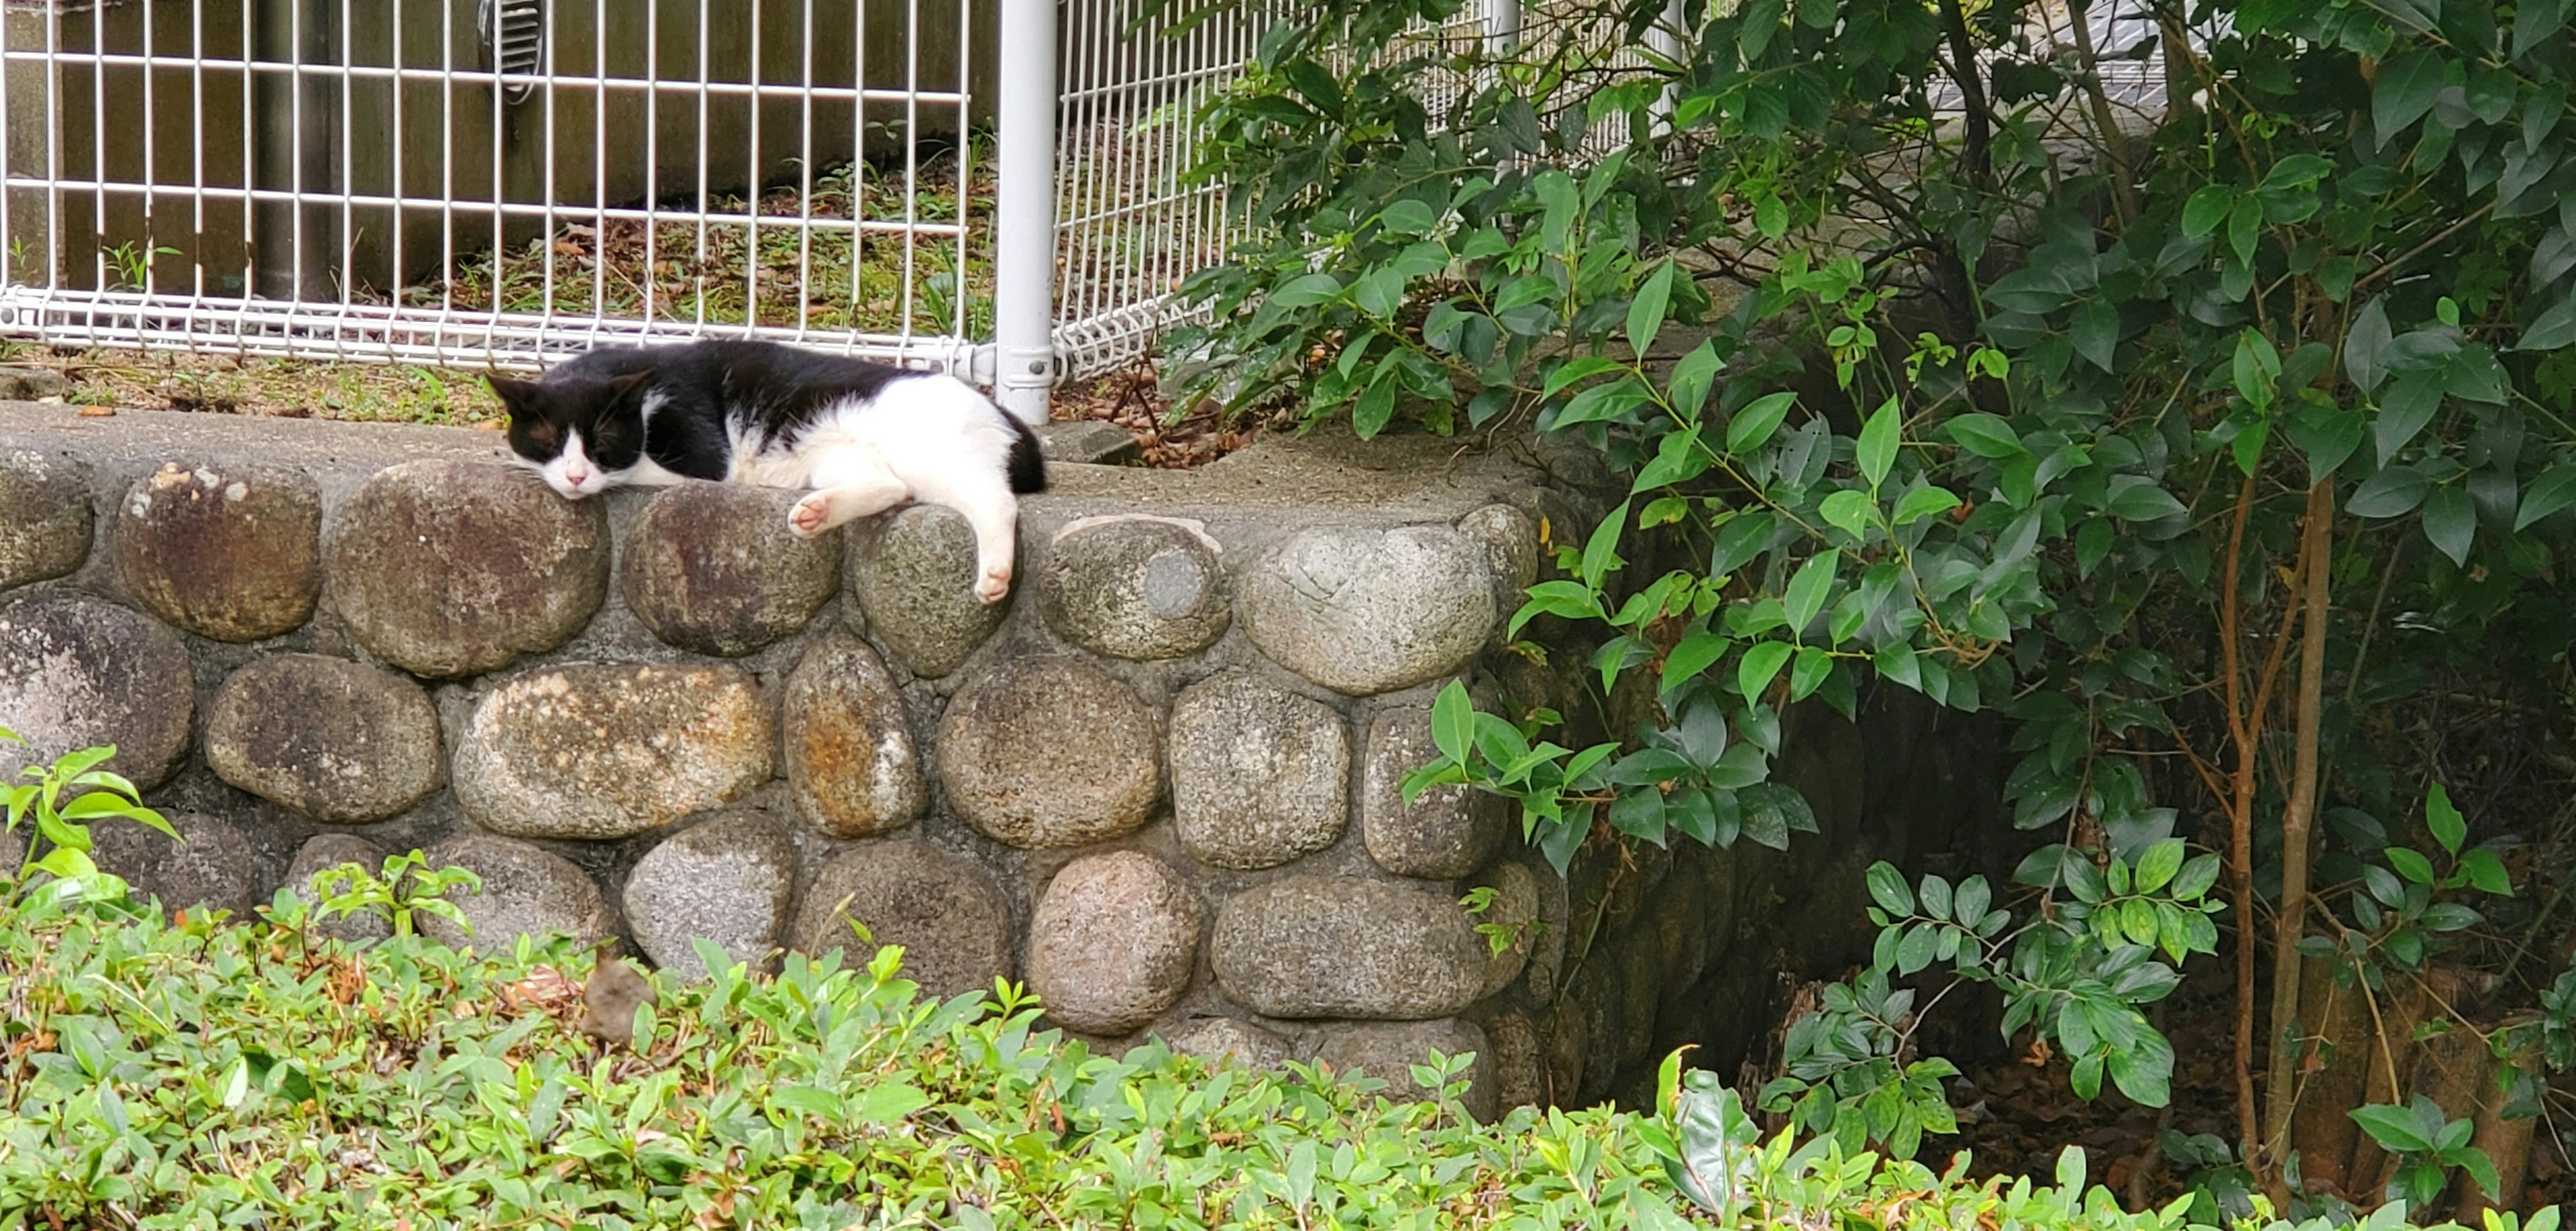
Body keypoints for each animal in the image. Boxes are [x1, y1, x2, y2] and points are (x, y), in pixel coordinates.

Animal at [484, 339, 1046, 602]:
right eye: (548, 440)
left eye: (602, 442)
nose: (576, 476)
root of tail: (1001, 410)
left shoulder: (705, 455)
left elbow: (646, 469)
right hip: (835, 455)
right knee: (889, 485)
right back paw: (815, 514)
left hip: (931, 452)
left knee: (995, 500)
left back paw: (995, 574)